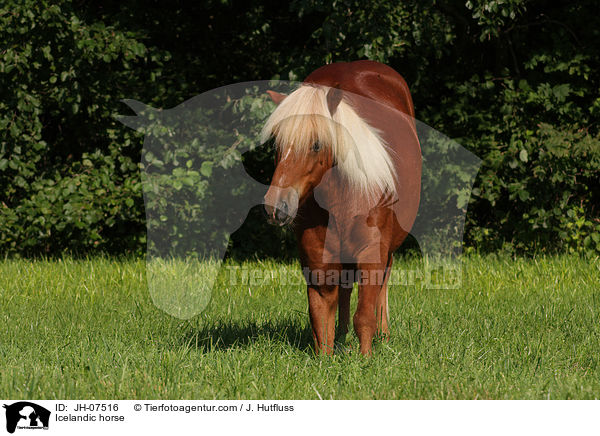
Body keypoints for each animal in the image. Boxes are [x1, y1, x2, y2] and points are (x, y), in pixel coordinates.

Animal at [260, 60, 420, 354]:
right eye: (277, 142)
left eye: (316, 144)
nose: (276, 207)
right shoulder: (318, 263)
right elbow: (321, 318)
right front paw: (328, 357)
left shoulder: (372, 255)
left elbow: (365, 316)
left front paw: (366, 358)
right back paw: (344, 338)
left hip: (387, 250)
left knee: (382, 288)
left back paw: (384, 337)